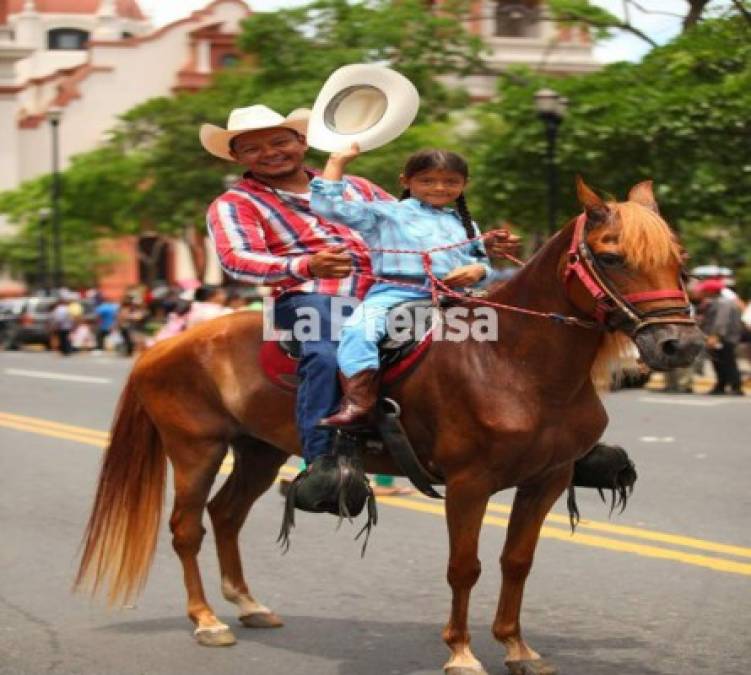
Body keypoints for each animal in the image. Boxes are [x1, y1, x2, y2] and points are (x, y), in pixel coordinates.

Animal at [75, 180, 704, 675]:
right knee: (187, 528)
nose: (681, 345)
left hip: (259, 450)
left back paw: (248, 605)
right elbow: (465, 568)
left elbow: (516, 563)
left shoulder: (545, 481)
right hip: (195, 450)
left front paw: (517, 648)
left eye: (680, 256)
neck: (512, 361)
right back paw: (207, 620)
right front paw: (462, 653)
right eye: (612, 256)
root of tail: (164, 343)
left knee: (226, 515)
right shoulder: (469, 484)